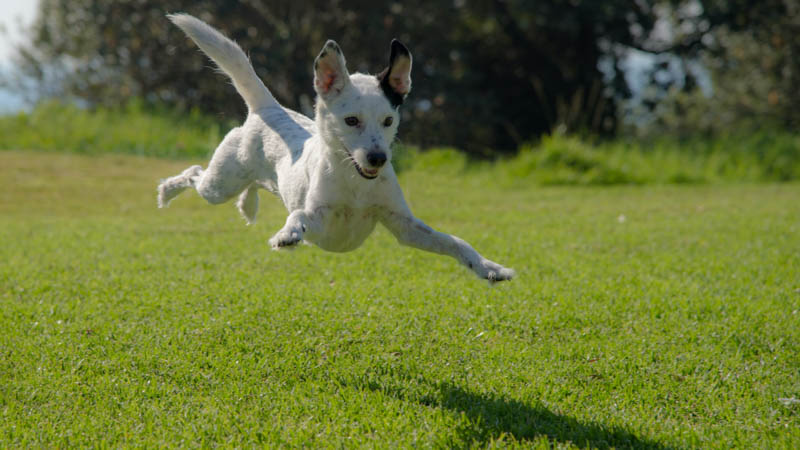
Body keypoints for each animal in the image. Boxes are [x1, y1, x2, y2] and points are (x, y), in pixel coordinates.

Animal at [158, 14, 512, 284]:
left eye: (388, 120)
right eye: (351, 120)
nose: (378, 158)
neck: (355, 184)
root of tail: (268, 108)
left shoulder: (405, 226)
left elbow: (455, 242)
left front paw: (489, 268)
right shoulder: (320, 219)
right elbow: (299, 215)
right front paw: (287, 234)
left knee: (252, 185)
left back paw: (248, 205)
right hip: (219, 184)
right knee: (194, 173)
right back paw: (166, 191)